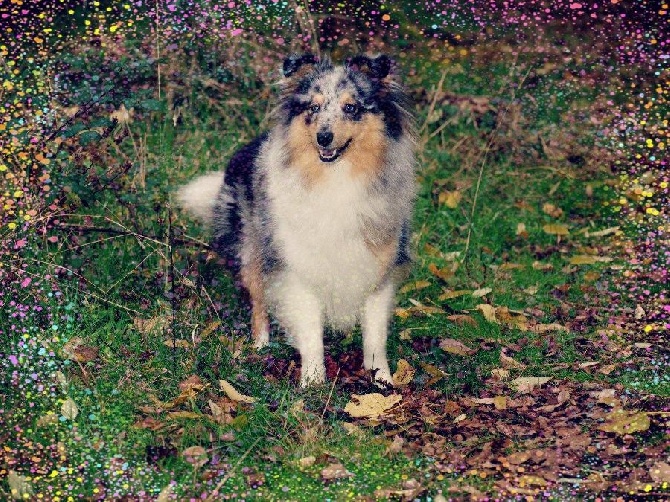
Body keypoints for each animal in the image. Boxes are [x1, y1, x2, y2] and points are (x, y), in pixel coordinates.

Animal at [181, 54, 418, 384]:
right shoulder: (296, 268)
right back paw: (260, 345)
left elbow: (375, 334)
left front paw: (382, 378)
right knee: (258, 300)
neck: (336, 180)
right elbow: (310, 329)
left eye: (351, 107)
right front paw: (312, 381)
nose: (324, 138)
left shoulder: (379, 267)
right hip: (253, 249)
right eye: (313, 108)